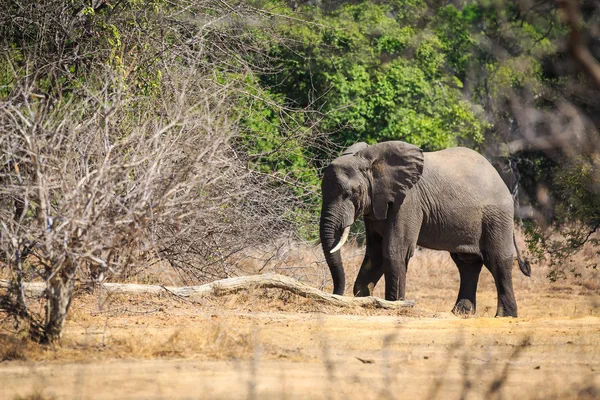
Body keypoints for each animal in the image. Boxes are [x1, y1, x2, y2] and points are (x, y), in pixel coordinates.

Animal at [318, 140, 528, 316]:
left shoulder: (409, 201)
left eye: (351, 193)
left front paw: (393, 306)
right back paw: (460, 314)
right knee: (467, 263)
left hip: (497, 216)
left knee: (497, 260)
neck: (373, 161)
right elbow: (374, 254)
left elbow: (394, 250)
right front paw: (364, 300)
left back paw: (505, 316)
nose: (335, 294)